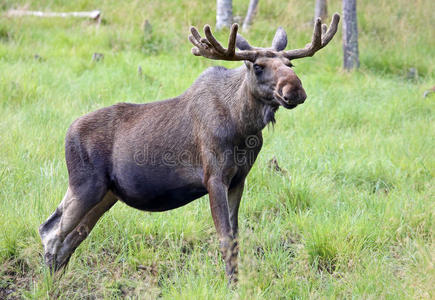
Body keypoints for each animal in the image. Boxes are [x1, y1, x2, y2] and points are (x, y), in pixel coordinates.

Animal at [40, 14, 340, 284]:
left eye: (290, 63)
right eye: (257, 66)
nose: (294, 89)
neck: (244, 126)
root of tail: (67, 133)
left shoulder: (239, 179)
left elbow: (236, 237)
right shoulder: (214, 177)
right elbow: (225, 239)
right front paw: (232, 286)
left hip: (107, 194)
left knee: (72, 236)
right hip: (85, 185)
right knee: (51, 231)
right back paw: (47, 284)